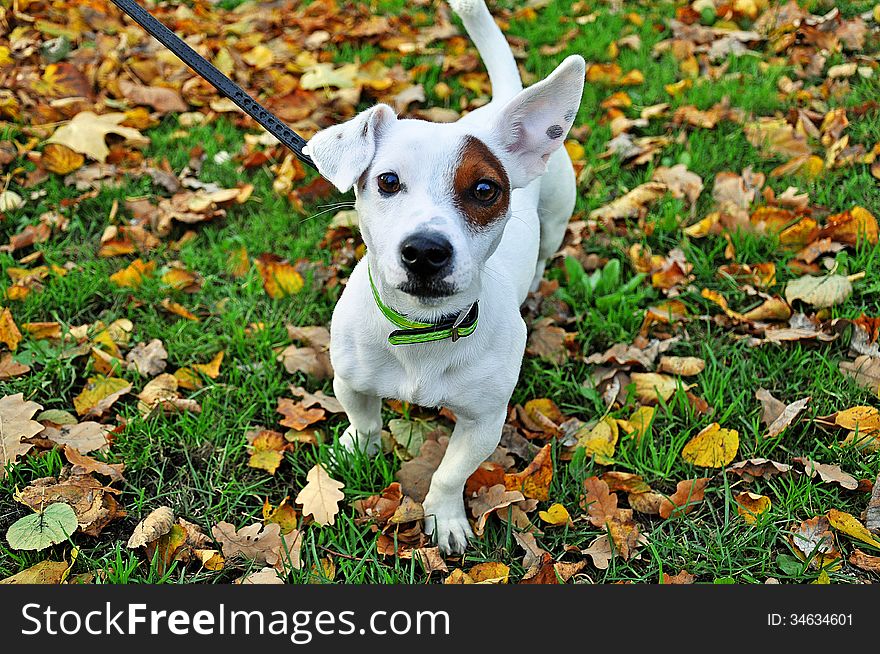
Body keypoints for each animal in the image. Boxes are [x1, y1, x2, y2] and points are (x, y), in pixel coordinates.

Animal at [302, 0, 584, 552]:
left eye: (484, 189)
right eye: (388, 181)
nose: (426, 251)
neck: (420, 331)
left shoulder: (483, 421)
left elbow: (451, 473)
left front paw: (445, 517)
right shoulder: (351, 381)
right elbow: (364, 419)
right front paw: (354, 447)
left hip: (558, 217)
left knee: (545, 252)